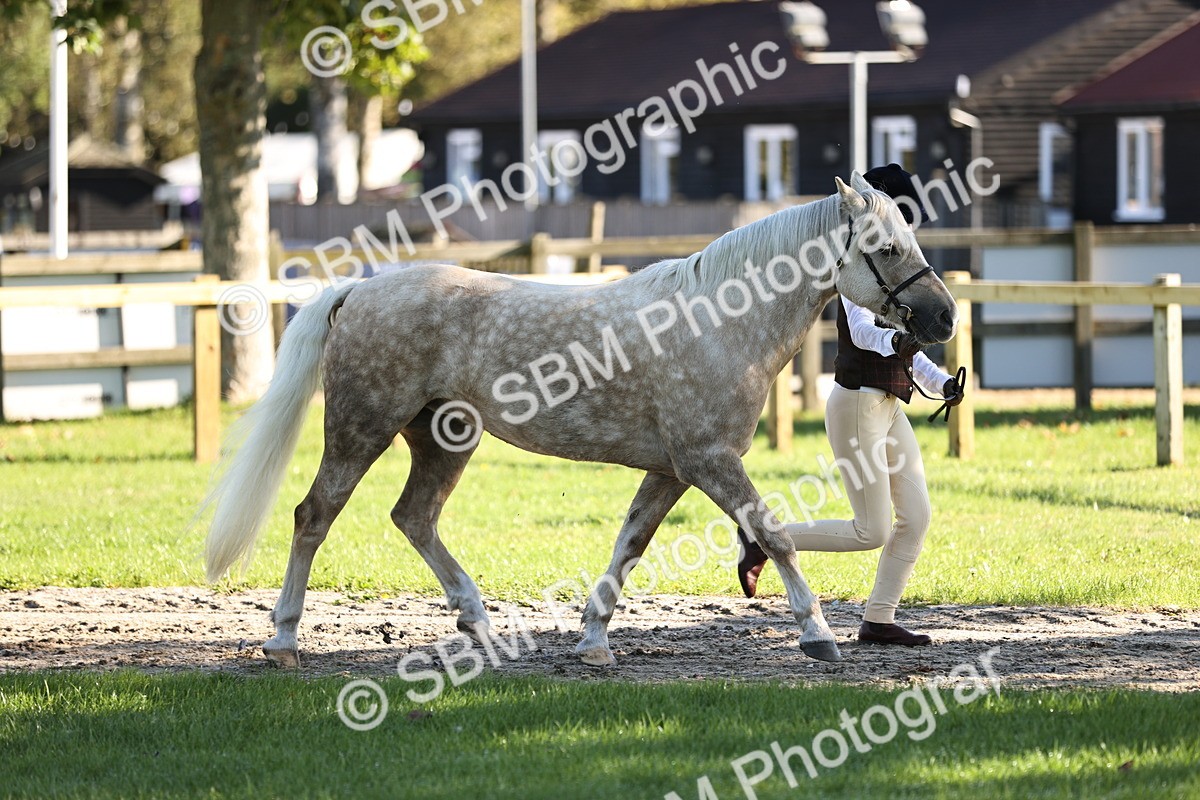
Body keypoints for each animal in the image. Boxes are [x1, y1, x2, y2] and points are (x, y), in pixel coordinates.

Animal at [202, 172, 957, 669]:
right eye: (887, 246)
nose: (944, 318)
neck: (720, 320)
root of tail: (359, 289)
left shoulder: (670, 470)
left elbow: (630, 546)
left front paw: (594, 642)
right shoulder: (709, 460)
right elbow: (773, 535)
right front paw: (818, 635)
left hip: (445, 438)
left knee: (413, 517)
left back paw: (479, 625)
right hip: (361, 429)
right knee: (314, 516)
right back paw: (283, 640)